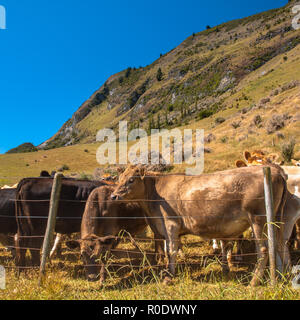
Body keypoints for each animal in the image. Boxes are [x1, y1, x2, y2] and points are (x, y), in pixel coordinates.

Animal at [111, 165, 290, 288]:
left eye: (131, 179)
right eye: (119, 178)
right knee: (280, 246)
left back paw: (253, 282)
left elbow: (171, 251)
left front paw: (169, 276)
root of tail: (275, 171)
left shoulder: (171, 225)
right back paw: (282, 276)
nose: (113, 196)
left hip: (258, 220)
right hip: (276, 219)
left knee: (264, 249)